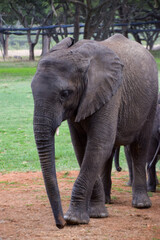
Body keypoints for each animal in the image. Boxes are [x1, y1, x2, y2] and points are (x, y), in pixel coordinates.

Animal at [31, 34, 159, 229]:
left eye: (65, 93)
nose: (60, 224)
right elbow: (82, 148)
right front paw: (97, 214)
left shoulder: (111, 92)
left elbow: (98, 145)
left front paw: (75, 219)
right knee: (109, 154)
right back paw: (107, 201)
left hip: (152, 100)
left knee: (139, 147)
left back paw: (141, 204)